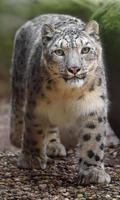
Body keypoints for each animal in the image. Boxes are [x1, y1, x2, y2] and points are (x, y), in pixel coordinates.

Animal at [9, 14, 111, 185]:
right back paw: (17, 137)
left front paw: (92, 171)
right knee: (18, 109)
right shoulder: (36, 105)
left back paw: (53, 146)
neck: (68, 93)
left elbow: (92, 139)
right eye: (59, 52)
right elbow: (33, 130)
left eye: (85, 49)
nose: (74, 69)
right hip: (19, 83)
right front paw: (32, 159)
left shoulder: (94, 106)